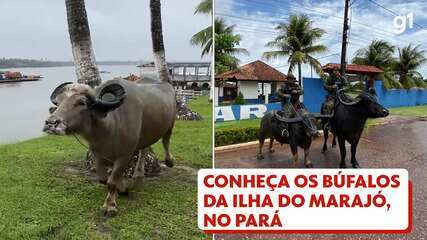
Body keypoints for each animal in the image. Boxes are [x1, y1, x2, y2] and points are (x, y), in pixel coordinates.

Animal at [42, 78, 176, 217]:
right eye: (58, 102)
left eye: (81, 102)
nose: (51, 123)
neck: (109, 127)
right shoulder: (96, 154)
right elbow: (103, 179)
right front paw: (122, 188)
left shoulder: (124, 155)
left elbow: (111, 182)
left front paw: (110, 206)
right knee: (144, 149)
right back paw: (138, 174)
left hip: (170, 124)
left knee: (166, 141)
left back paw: (169, 161)